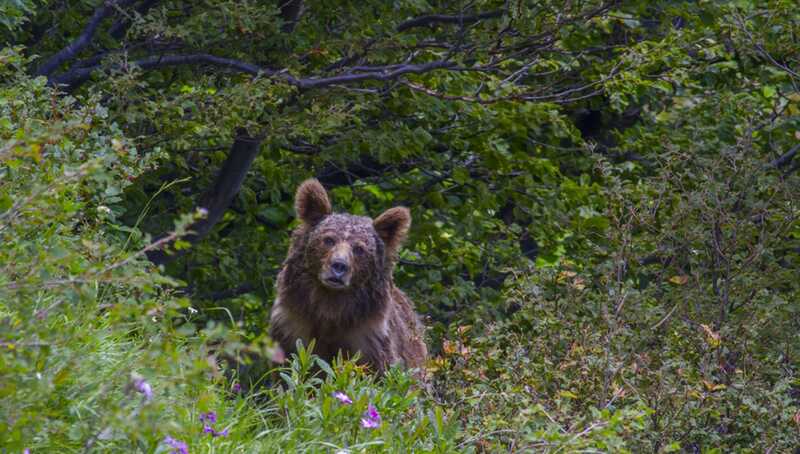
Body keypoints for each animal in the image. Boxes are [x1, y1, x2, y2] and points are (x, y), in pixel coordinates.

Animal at [268, 177, 428, 372]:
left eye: (359, 249)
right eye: (328, 239)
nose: (339, 265)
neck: (330, 307)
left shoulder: (367, 338)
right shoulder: (292, 326)